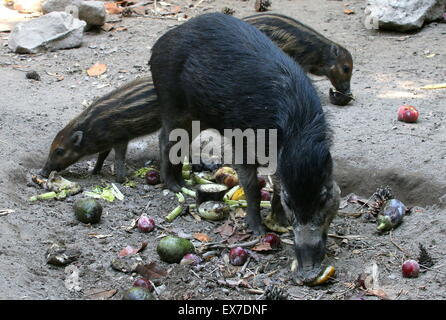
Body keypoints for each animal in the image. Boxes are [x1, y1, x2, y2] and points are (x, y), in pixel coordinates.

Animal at [148, 11, 340, 282]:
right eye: (291, 201)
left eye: (324, 197)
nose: (309, 270)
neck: (296, 131)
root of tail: (159, 44)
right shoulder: (240, 141)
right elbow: (251, 186)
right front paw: (258, 230)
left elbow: (275, 182)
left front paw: (279, 223)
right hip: (172, 103)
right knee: (165, 139)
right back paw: (176, 186)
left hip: (196, 115)